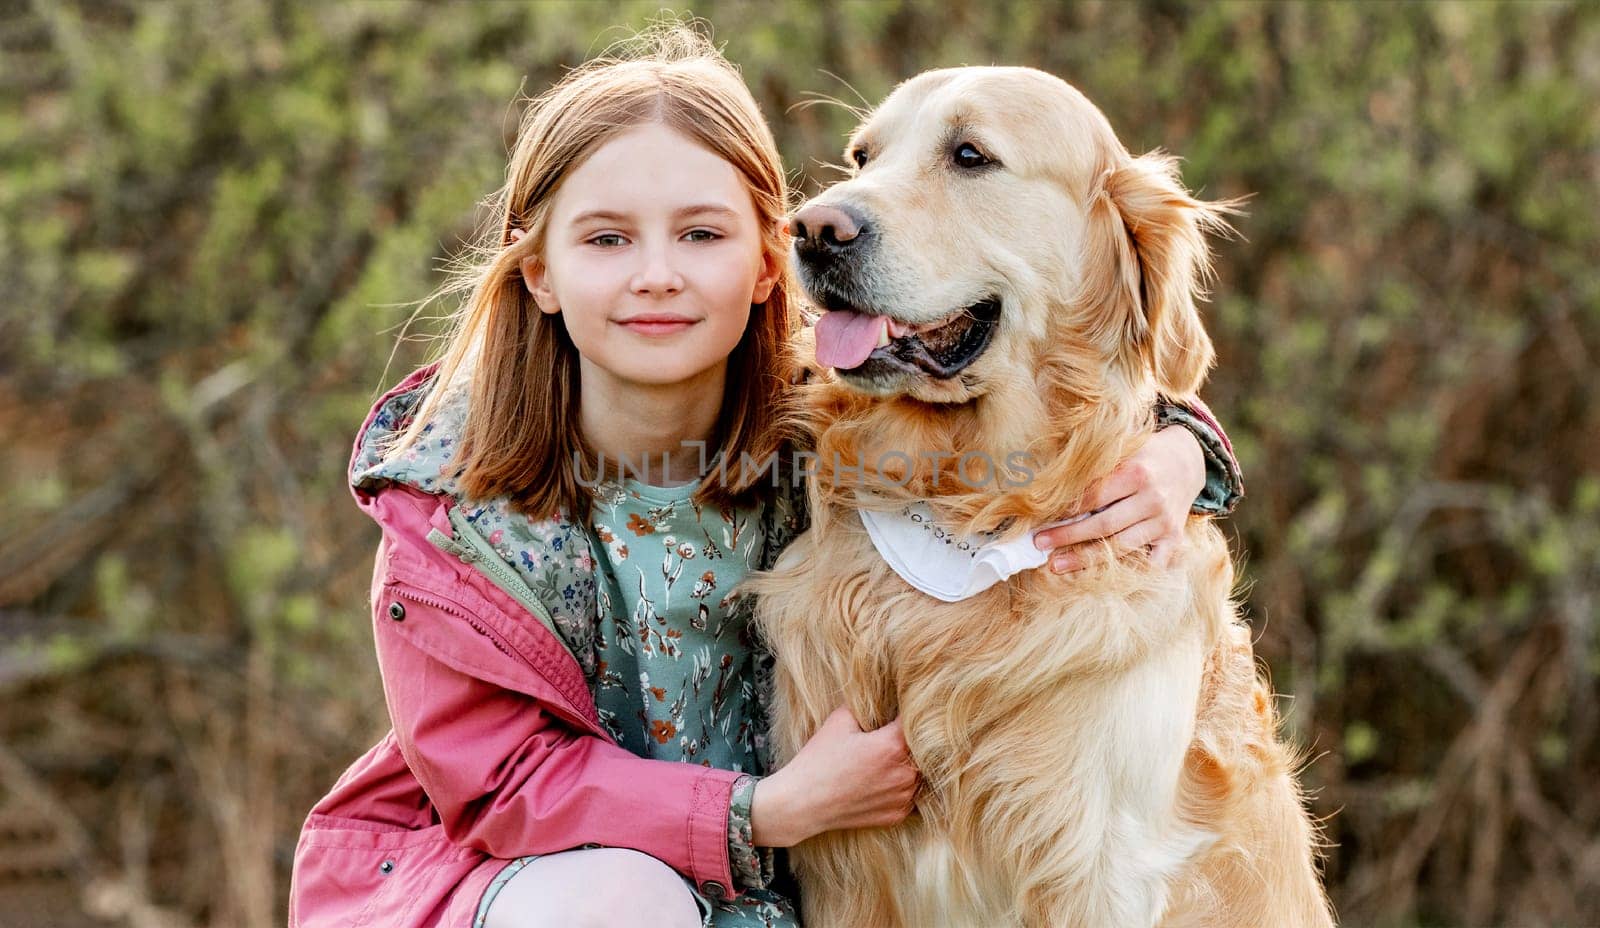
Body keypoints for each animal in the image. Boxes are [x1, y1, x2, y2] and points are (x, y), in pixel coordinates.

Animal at [748, 67, 1337, 928]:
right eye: (862, 156)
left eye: (970, 155)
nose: (816, 229)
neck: (972, 507)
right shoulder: (842, 866)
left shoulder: (1093, 871)